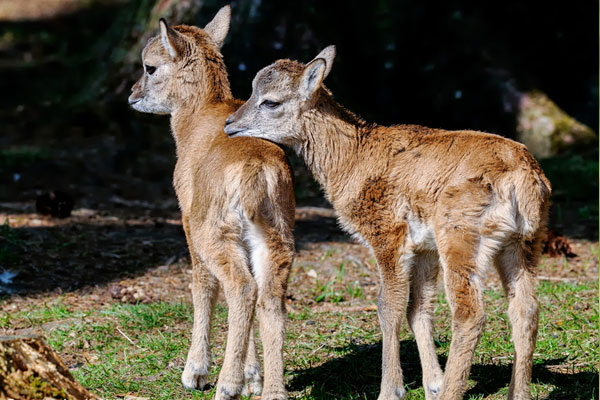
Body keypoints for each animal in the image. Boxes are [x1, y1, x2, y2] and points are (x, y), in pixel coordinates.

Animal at [129, 7, 296, 400]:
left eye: (149, 67)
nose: (131, 95)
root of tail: (256, 171)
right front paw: (253, 378)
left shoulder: (188, 217)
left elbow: (201, 285)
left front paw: (196, 373)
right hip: (277, 235)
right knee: (269, 297)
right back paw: (272, 390)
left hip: (214, 229)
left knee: (241, 287)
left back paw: (225, 384)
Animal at [224, 47, 548, 400]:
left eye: (270, 101)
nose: (229, 124)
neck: (352, 162)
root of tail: (523, 179)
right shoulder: (424, 247)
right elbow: (417, 308)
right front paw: (431, 383)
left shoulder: (387, 232)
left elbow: (387, 306)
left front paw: (391, 389)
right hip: (524, 242)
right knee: (525, 310)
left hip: (461, 235)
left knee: (469, 313)